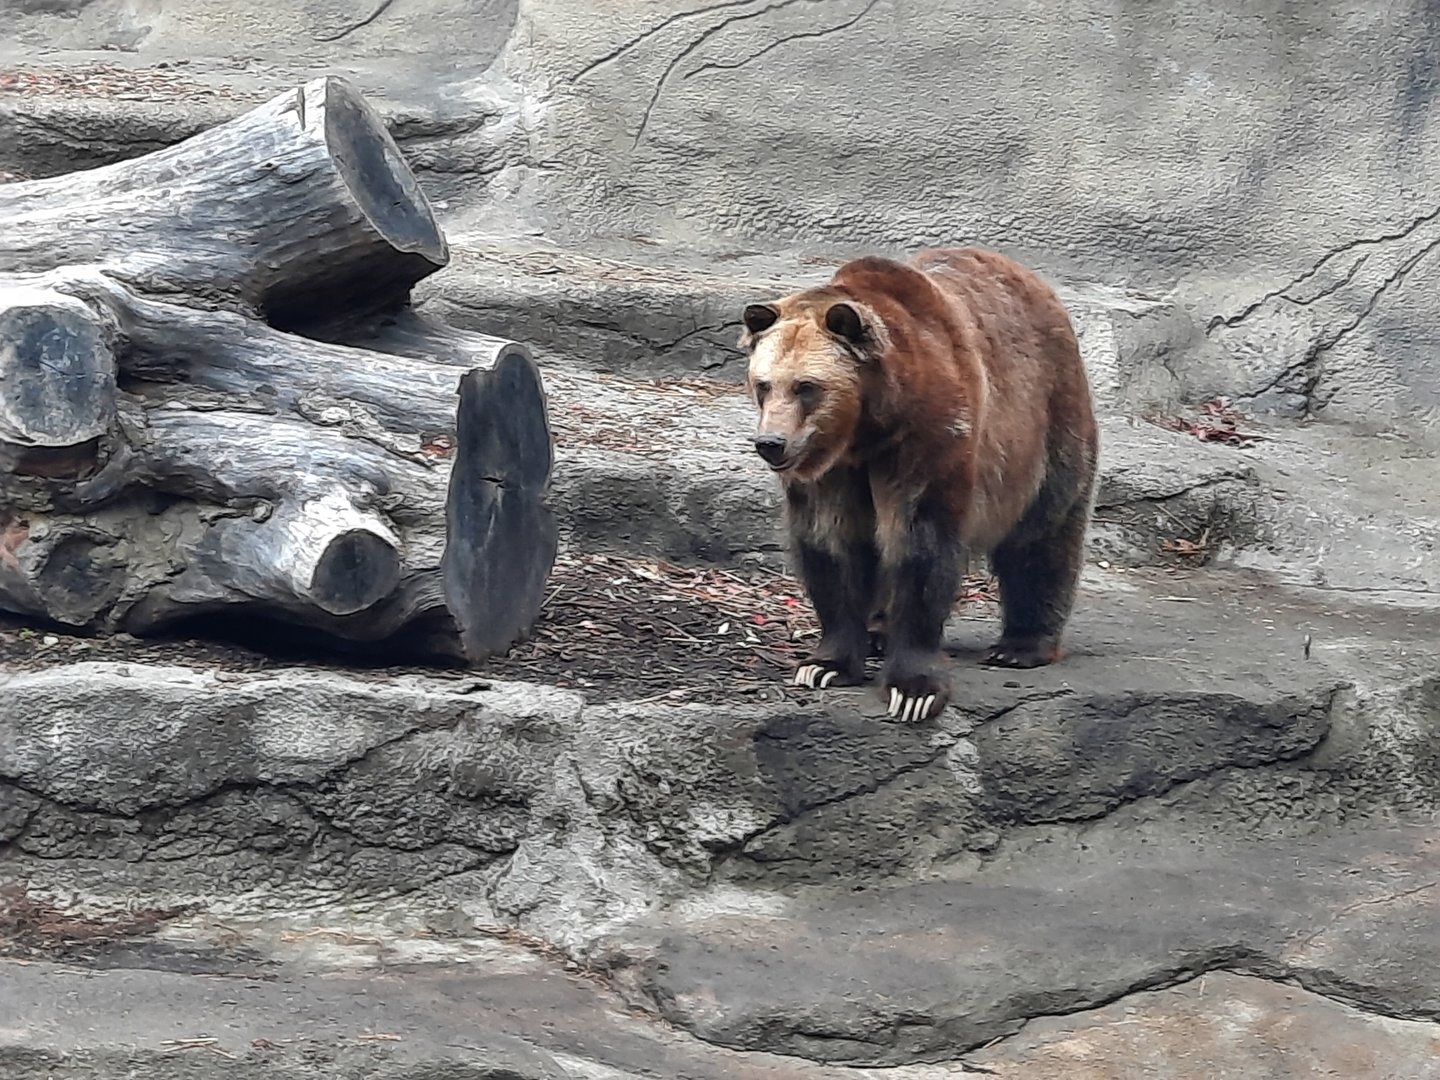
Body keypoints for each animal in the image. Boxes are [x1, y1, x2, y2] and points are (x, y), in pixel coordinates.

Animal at [738, 246, 1099, 722]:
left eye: (806, 387)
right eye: (763, 385)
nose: (771, 443)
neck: (867, 428)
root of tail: (1032, 279)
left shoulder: (929, 436)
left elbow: (920, 543)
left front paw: (913, 689)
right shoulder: (829, 471)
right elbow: (831, 544)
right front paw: (825, 665)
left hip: (1047, 415)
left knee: (1044, 531)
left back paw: (1022, 644)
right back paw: (877, 631)